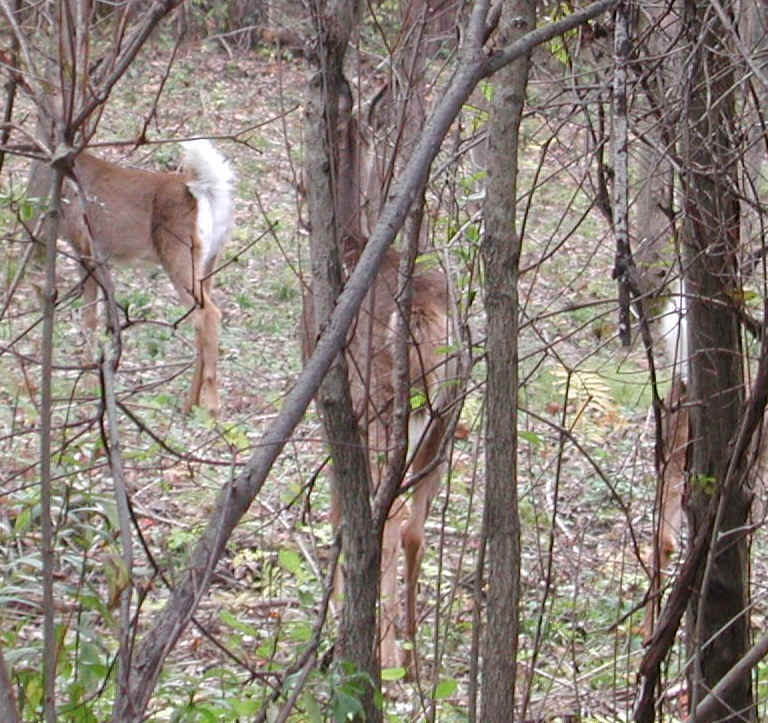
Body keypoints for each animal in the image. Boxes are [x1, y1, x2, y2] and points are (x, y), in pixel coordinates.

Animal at [56, 139, 234, 416]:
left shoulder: (84, 247)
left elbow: (89, 318)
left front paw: (86, 384)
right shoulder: (101, 258)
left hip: (179, 254)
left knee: (210, 314)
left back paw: (212, 406)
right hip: (210, 262)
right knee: (200, 322)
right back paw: (190, 404)